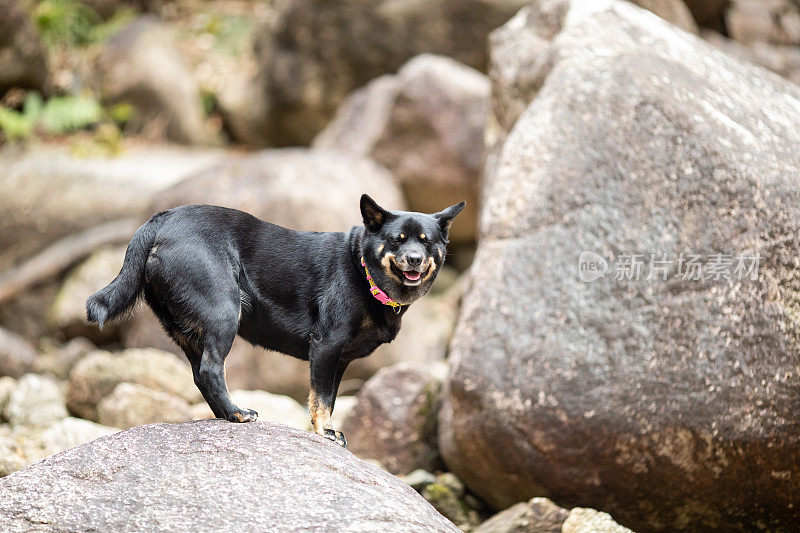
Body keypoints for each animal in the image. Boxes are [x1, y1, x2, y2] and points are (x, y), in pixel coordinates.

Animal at [86, 194, 462, 444]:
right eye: (396, 240)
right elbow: (321, 399)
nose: (414, 259)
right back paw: (237, 413)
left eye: (426, 242)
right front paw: (325, 432)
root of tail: (159, 221)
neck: (361, 268)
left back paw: (225, 414)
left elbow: (326, 398)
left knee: (199, 375)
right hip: (224, 312)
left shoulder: (339, 360)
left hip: (189, 331)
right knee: (210, 371)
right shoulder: (325, 347)